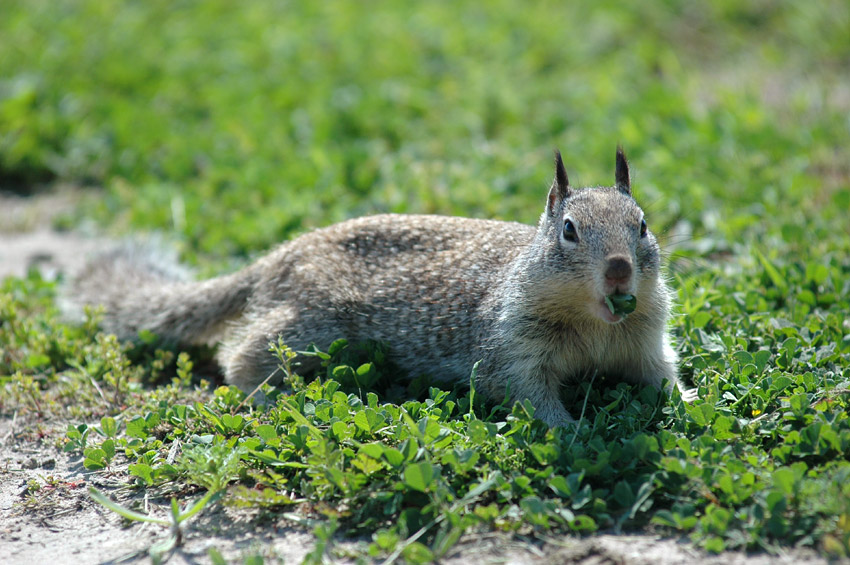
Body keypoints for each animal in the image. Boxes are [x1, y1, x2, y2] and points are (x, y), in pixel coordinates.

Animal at [68, 148, 688, 426]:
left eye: (642, 225)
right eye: (568, 230)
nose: (619, 271)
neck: (593, 321)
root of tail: (277, 257)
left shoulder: (645, 339)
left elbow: (661, 375)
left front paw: (687, 403)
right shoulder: (512, 345)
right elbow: (527, 394)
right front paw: (573, 428)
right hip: (312, 325)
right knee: (238, 353)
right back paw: (268, 396)